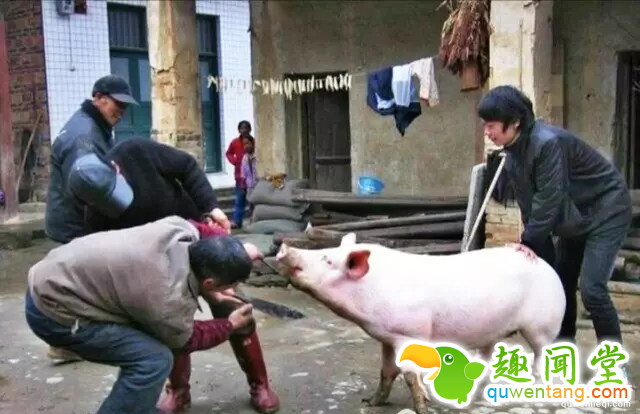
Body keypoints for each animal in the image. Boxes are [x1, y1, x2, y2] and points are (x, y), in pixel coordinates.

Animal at [275, 233, 566, 414]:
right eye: (326, 251)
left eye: (327, 259)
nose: (284, 248)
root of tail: (549, 268)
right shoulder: (387, 336)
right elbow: (387, 371)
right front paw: (370, 402)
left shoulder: (409, 333)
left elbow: (410, 376)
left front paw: (422, 408)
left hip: (542, 327)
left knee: (543, 355)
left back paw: (544, 389)